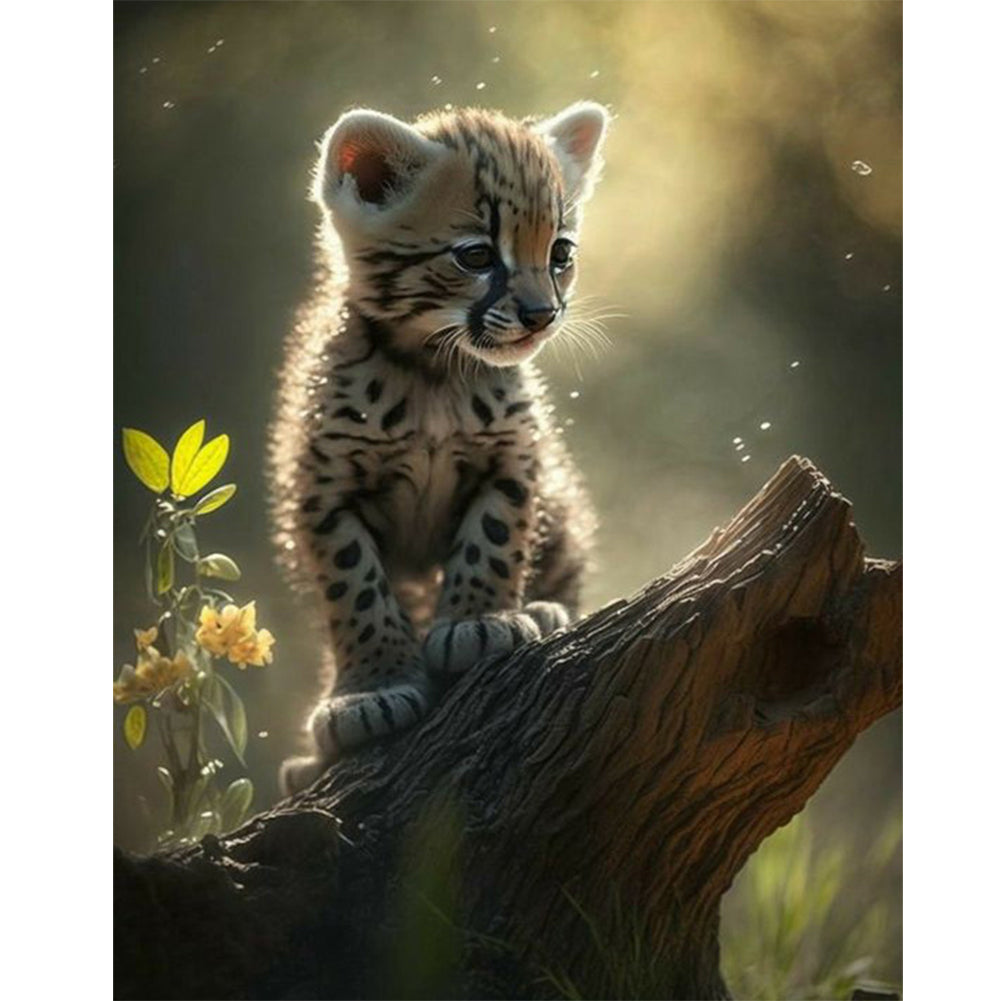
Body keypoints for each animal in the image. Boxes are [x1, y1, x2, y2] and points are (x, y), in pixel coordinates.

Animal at [270, 101, 609, 794]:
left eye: (559, 252)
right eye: (475, 256)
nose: (542, 314)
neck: (434, 374)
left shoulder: (513, 460)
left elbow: (494, 540)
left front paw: (480, 622)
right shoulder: (326, 491)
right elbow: (355, 587)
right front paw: (372, 688)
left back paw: (544, 610)